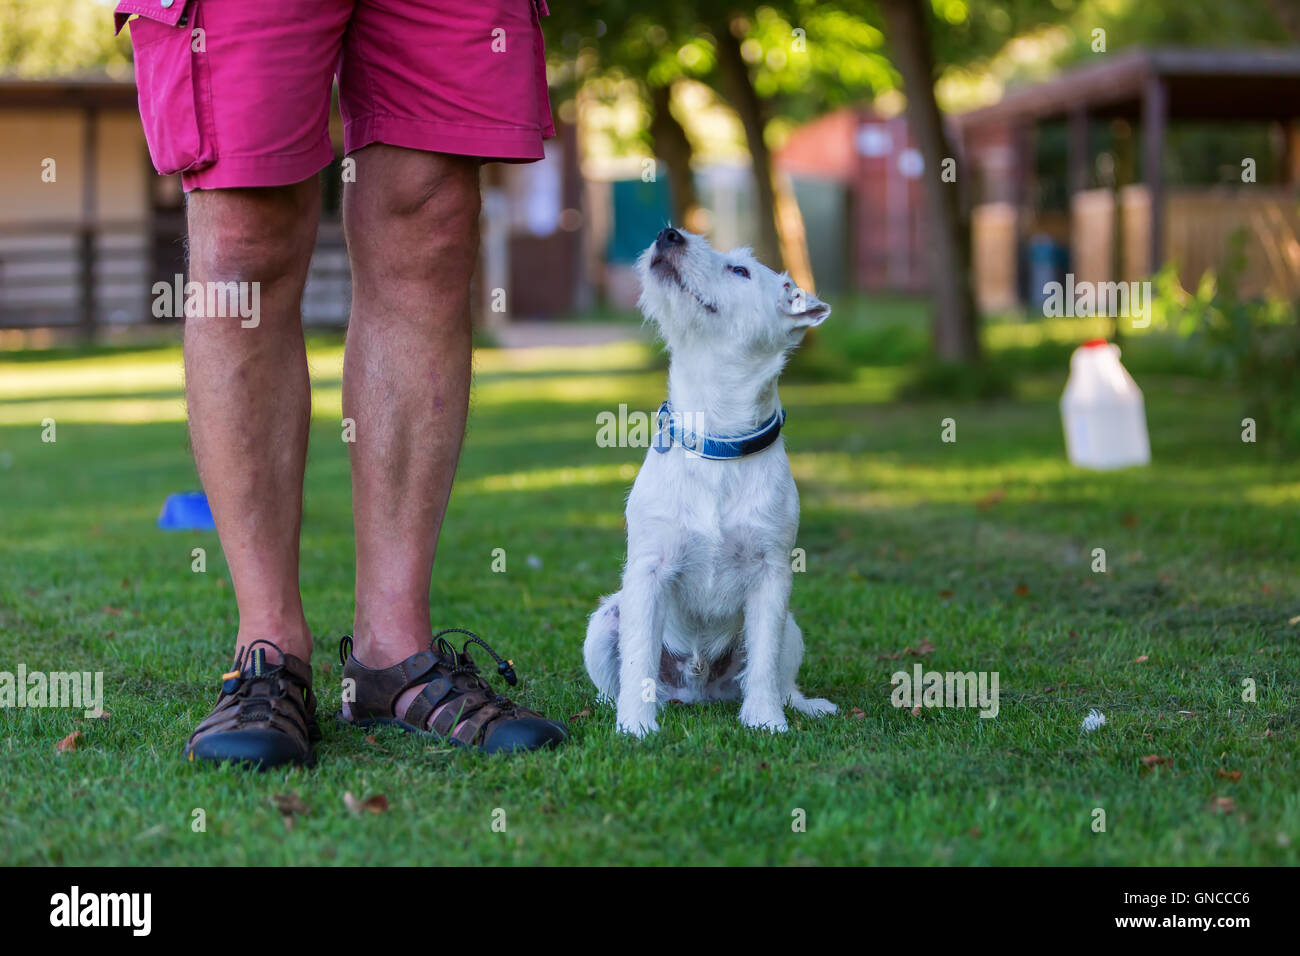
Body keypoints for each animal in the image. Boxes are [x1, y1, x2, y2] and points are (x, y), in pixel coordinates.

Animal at [585, 227, 837, 738]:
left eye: (740, 270)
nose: (668, 234)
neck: (716, 438)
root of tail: (695, 692)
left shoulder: (771, 576)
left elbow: (763, 661)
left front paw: (765, 721)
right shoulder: (648, 571)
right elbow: (637, 659)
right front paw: (636, 727)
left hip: (792, 630)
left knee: (779, 677)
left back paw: (801, 705)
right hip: (603, 621)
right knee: (617, 678)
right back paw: (620, 706)